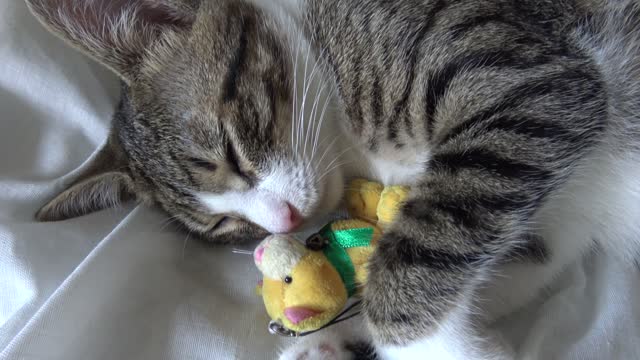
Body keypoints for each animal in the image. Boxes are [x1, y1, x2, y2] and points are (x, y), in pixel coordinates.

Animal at [22, 0, 640, 358]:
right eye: (223, 226)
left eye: (231, 150)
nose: (284, 221)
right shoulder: (550, 225)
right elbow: (499, 267)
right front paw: (340, 335)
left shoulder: (532, 83)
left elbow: (416, 266)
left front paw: (404, 338)